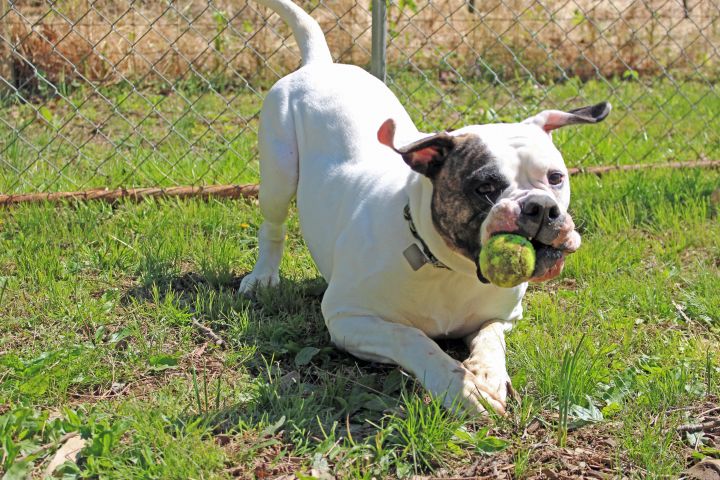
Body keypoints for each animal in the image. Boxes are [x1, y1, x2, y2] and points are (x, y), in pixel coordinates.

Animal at [240, 0, 608, 414]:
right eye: (485, 187)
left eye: (556, 177)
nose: (541, 207)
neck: (449, 268)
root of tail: (320, 65)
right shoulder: (347, 317)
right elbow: (413, 339)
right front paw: (459, 387)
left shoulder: (504, 316)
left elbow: (491, 338)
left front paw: (487, 375)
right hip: (278, 172)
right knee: (273, 226)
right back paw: (263, 277)